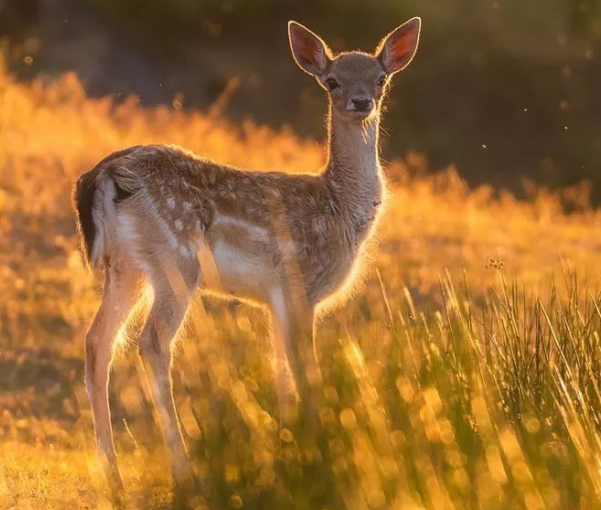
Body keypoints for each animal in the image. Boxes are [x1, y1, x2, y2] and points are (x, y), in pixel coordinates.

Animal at [72, 16, 422, 494]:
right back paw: (184, 471)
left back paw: (114, 476)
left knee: (99, 340)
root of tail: (105, 175)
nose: (361, 101)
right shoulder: (301, 284)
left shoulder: (275, 299)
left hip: (126, 267)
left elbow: (280, 369)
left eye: (381, 78)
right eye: (332, 81)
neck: (340, 210)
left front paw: (289, 446)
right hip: (177, 259)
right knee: (152, 342)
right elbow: (305, 368)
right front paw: (318, 454)